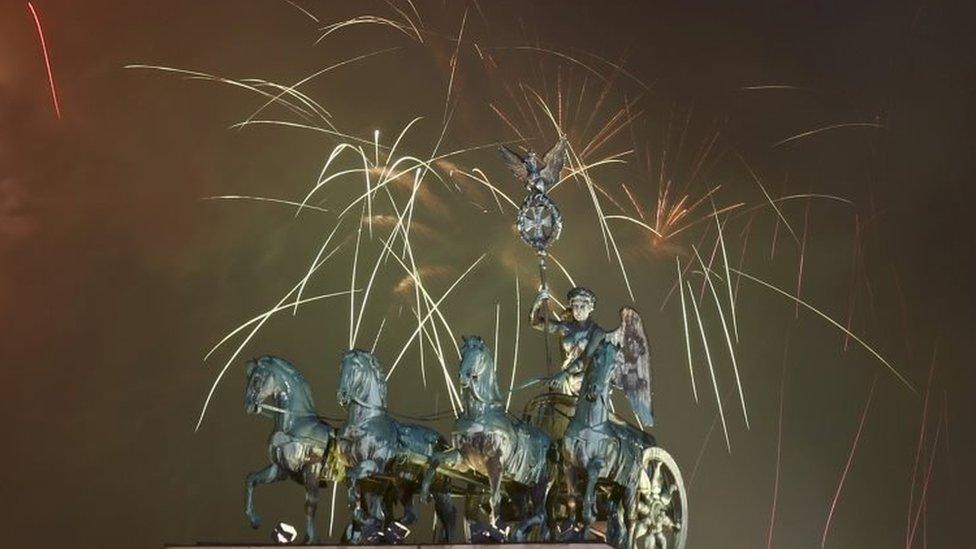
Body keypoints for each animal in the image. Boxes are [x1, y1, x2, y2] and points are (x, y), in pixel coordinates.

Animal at [243, 356, 336, 544]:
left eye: (256, 379)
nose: (248, 405)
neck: (294, 426)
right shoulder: (279, 470)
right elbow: (251, 479)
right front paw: (254, 519)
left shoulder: (312, 472)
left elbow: (310, 506)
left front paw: (309, 540)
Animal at [336, 348, 458, 540]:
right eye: (341, 366)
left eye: (355, 366)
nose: (342, 395)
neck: (363, 423)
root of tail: (444, 443)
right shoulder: (369, 477)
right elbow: (356, 489)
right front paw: (358, 527)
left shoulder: (374, 467)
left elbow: (357, 482)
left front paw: (364, 520)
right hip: (404, 485)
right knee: (411, 515)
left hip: (439, 489)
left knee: (450, 514)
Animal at [422, 334, 556, 540]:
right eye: (462, 351)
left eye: (479, 354)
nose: (463, 376)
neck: (479, 414)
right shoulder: (463, 459)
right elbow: (435, 459)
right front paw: (424, 491)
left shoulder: (495, 463)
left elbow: (495, 499)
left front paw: (494, 527)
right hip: (517, 487)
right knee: (530, 515)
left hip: (539, 486)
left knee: (540, 515)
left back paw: (517, 532)